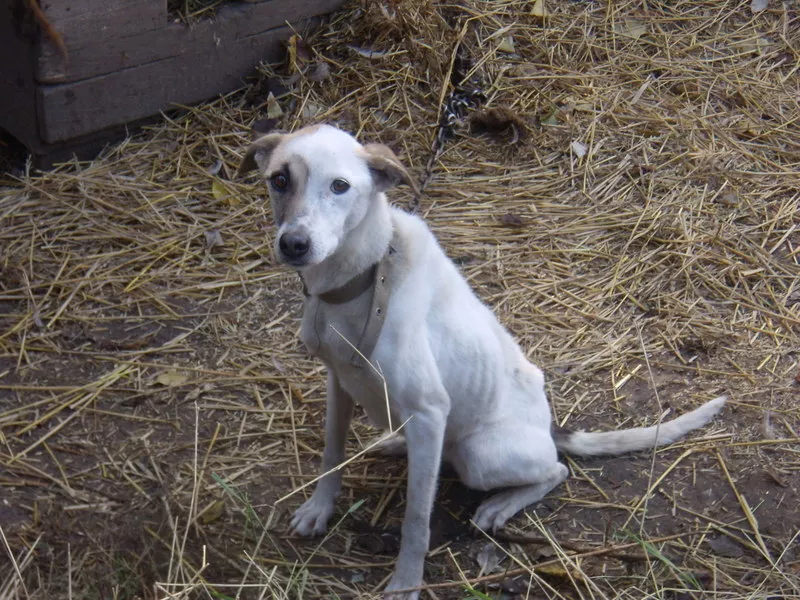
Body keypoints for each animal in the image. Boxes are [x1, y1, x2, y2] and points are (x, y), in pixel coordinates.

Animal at [238, 123, 724, 600]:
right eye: (279, 180)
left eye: (340, 186)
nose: (294, 245)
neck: (363, 279)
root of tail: (549, 428)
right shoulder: (338, 381)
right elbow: (331, 455)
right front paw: (320, 509)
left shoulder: (429, 410)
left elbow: (416, 521)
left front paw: (406, 583)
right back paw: (395, 442)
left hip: (480, 454)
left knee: (556, 469)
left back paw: (501, 503)